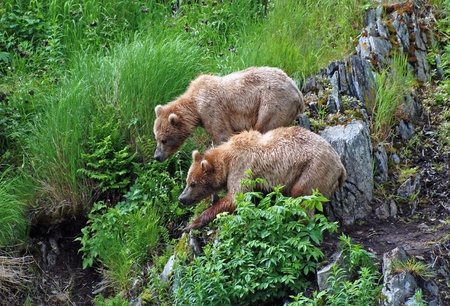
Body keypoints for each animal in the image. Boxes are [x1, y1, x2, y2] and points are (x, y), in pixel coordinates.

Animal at [153, 66, 304, 161]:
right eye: (156, 137)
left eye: (164, 140)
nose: (157, 157)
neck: (195, 104)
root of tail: (297, 90)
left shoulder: (211, 109)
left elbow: (222, 134)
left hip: (272, 104)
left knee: (265, 128)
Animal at [178, 126, 346, 230]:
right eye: (187, 181)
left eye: (193, 183)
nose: (182, 198)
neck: (226, 159)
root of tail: (340, 165)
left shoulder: (242, 167)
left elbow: (235, 198)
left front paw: (192, 224)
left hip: (314, 169)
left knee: (303, 195)